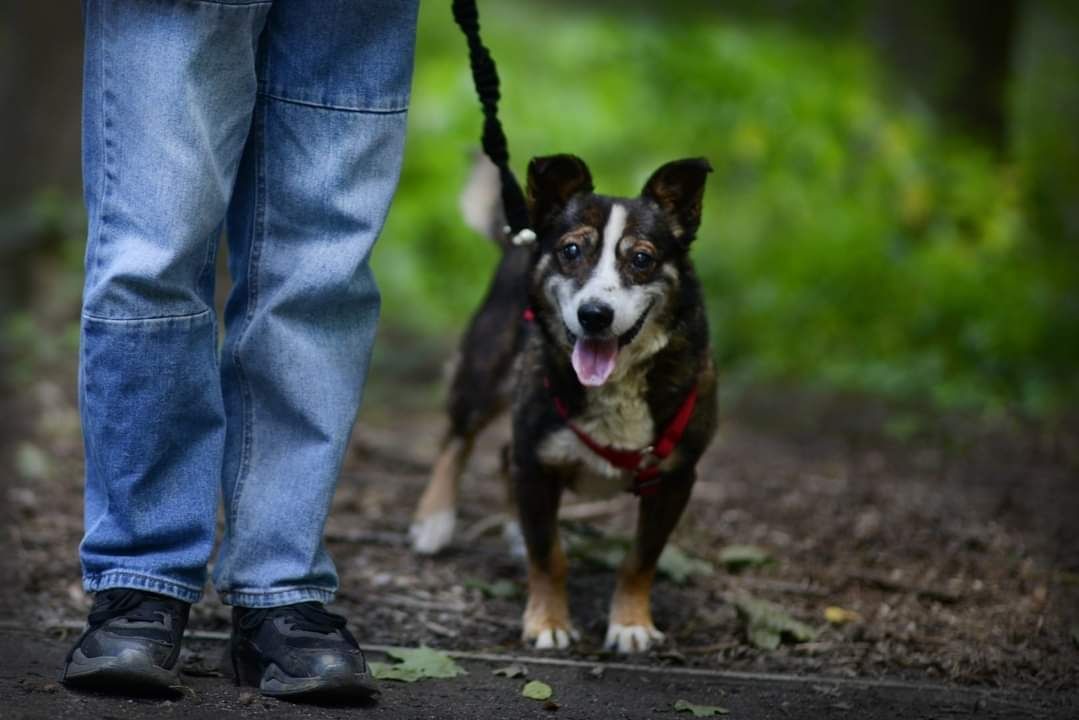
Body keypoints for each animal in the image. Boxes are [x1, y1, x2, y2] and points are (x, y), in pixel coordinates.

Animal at [405, 152, 716, 651]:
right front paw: (547, 623)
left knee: (502, 453)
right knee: (458, 438)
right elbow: (549, 555)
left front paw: (630, 623)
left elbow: (641, 558)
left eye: (642, 259)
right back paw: (435, 520)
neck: (616, 386)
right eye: (571, 251)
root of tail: (523, 234)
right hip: (485, 368)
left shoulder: (675, 478)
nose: (595, 315)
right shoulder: (537, 461)